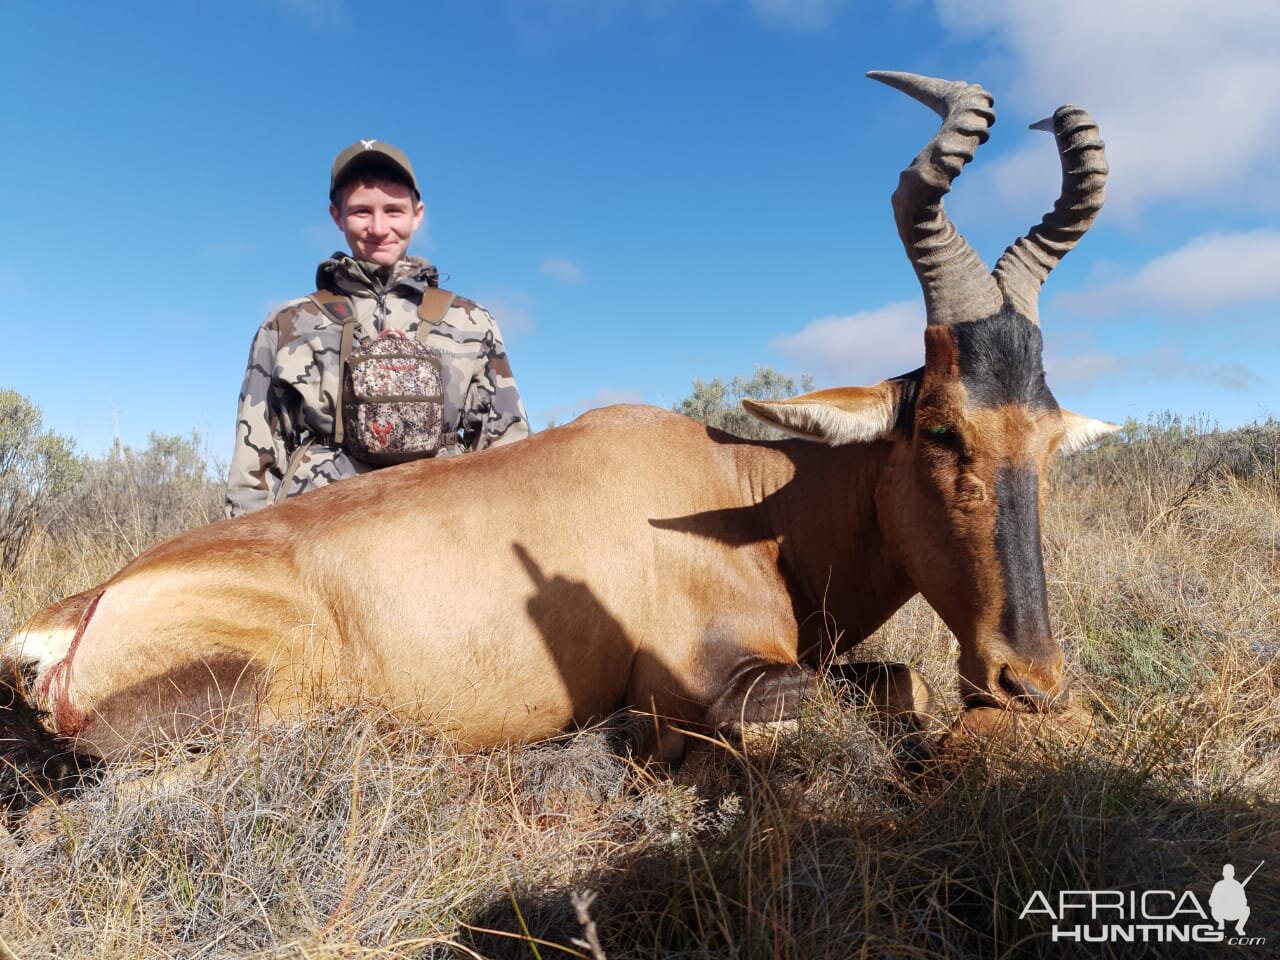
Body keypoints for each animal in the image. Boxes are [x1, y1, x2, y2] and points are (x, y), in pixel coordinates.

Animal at [2, 71, 1111, 814]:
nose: (1030, 682)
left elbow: (903, 681)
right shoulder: (708, 682)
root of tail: (80, 613)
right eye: (940, 427)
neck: (736, 492)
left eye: (1051, 439)